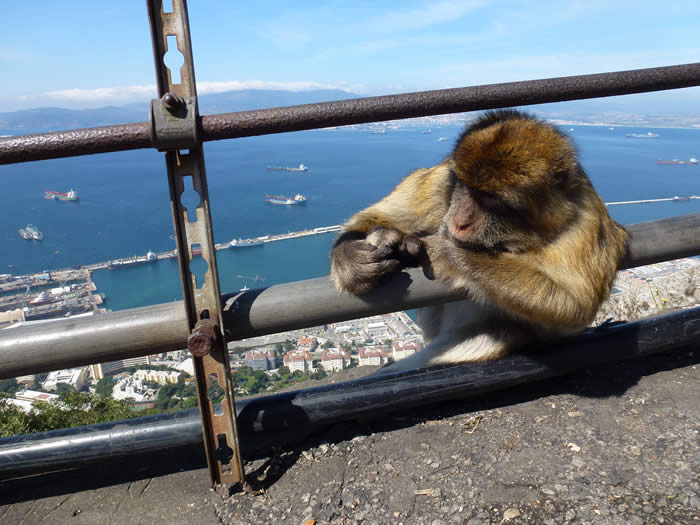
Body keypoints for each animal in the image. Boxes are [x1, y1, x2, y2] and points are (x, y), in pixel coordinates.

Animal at [330, 109, 629, 374]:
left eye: (490, 199)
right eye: (466, 188)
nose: (460, 221)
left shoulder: (584, 221)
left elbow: (576, 302)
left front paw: (447, 253)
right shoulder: (442, 180)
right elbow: (377, 215)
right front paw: (356, 256)